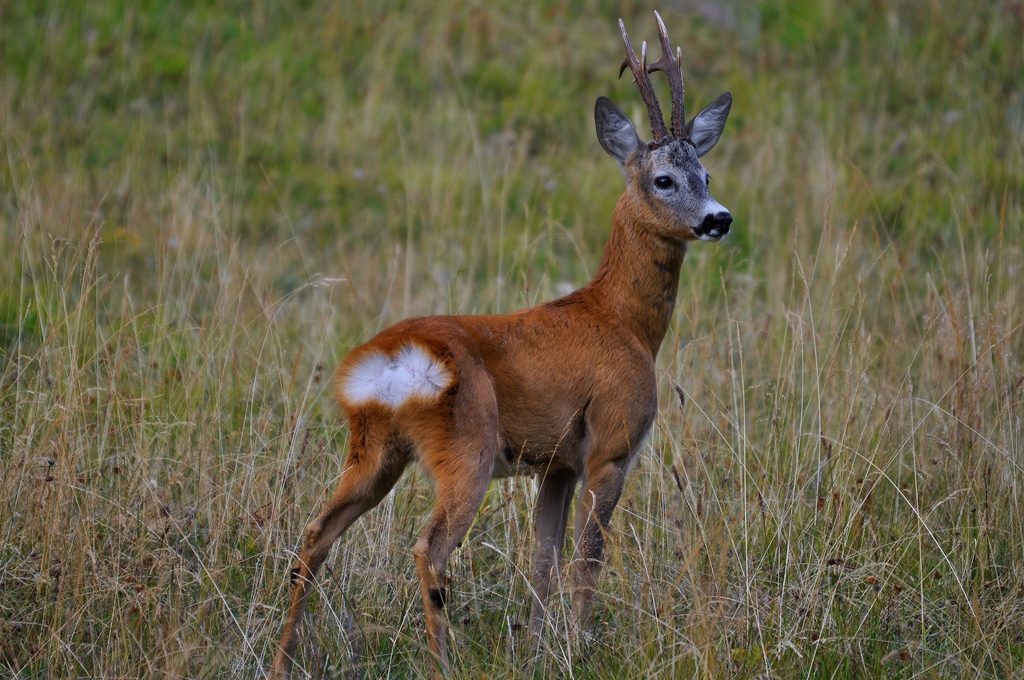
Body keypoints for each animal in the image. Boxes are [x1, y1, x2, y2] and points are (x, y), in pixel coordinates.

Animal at [274, 13, 737, 675]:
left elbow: (543, 562)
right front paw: (579, 647)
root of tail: (385, 364)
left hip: (374, 450)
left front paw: (537, 649)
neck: (623, 321)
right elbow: (586, 560)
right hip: (467, 445)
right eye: (664, 178)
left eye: (707, 173)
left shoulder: (558, 463)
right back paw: (442, 661)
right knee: (429, 547)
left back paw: (282, 659)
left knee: (314, 536)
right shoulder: (611, 445)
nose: (719, 218)